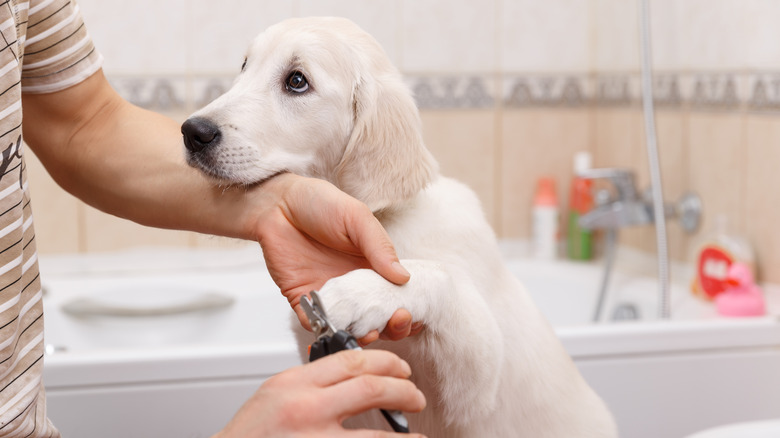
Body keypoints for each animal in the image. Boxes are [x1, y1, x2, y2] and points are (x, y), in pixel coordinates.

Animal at [183, 15, 616, 436]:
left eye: (297, 81)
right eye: (245, 66)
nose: (192, 132)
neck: (385, 218)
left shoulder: (480, 385)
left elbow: (439, 276)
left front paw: (360, 293)